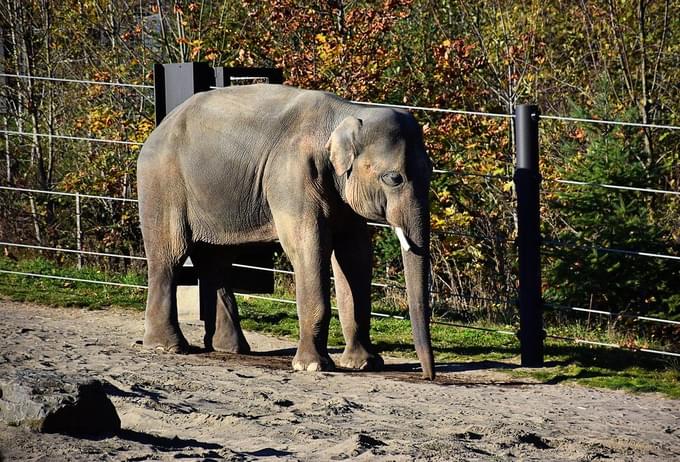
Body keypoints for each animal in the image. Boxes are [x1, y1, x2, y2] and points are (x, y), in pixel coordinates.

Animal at [137, 83, 436, 378]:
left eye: (431, 172)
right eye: (394, 178)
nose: (427, 376)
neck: (348, 113)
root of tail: (159, 128)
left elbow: (355, 254)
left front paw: (365, 364)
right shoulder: (292, 177)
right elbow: (309, 247)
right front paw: (313, 366)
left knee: (216, 262)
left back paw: (231, 349)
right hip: (162, 183)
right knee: (170, 257)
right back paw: (167, 347)